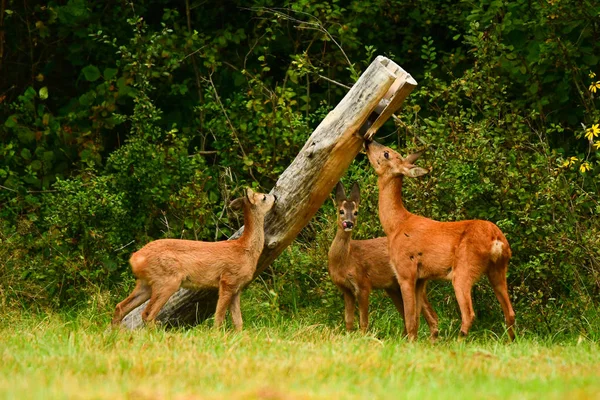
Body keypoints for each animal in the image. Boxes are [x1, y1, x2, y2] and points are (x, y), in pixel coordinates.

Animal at [112, 188, 276, 332]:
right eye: (264, 197)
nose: (275, 197)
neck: (245, 249)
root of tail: (135, 258)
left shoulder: (237, 288)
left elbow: (238, 321)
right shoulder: (228, 280)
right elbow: (219, 317)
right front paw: (217, 335)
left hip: (145, 283)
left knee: (121, 307)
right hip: (167, 281)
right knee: (147, 314)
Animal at [328, 181, 440, 338]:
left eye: (356, 212)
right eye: (341, 211)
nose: (349, 223)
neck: (345, 260)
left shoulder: (363, 284)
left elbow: (363, 321)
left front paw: (362, 338)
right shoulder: (346, 289)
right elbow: (348, 321)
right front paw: (349, 337)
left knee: (431, 316)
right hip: (393, 288)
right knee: (407, 316)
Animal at [364, 141, 512, 340]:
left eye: (387, 153)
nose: (368, 141)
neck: (395, 225)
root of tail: (496, 240)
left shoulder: (405, 271)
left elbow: (410, 318)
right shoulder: (422, 278)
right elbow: (417, 318)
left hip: (464, 269)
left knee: (469, 314)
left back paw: (458, 341)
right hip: (498, 268)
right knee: (509, 312)